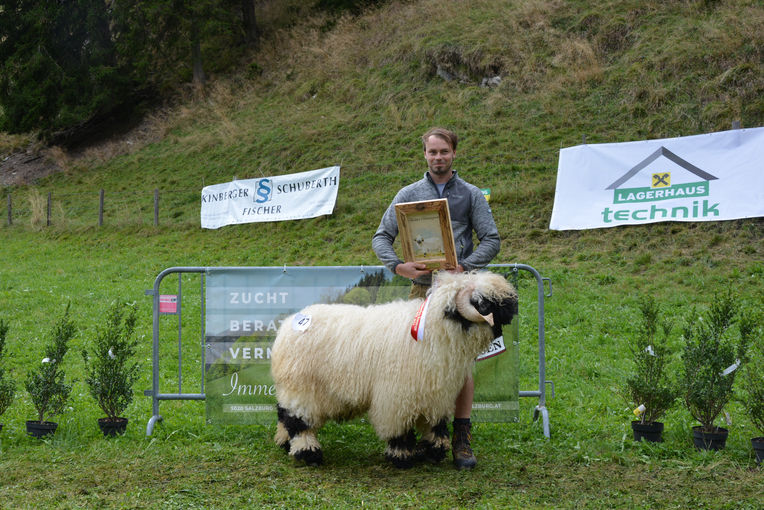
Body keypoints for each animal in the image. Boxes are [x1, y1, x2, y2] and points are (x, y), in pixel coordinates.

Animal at [270, 272, 520, 468]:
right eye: (485, 304)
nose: (513, 309)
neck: (434, 332)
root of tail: (289, 323)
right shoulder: (397, 395)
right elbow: (399, 427)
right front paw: (402, 455)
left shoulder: (437, 392)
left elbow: (435, 424)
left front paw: (435, 449)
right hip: (302, 387)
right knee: (297, 420)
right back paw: (307, 452)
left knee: (283, 412)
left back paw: (284, 442)